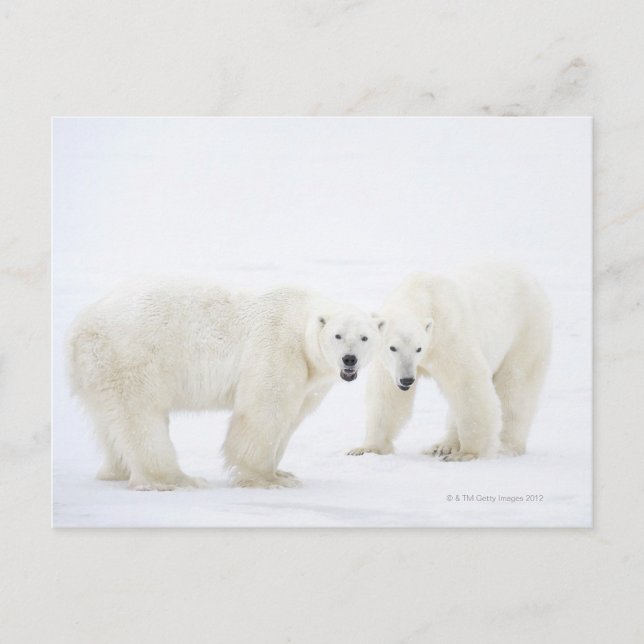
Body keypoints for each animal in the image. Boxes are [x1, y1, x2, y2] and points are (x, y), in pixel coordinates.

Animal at [68, 278, 378, 490]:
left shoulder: (310, 378)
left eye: (364, 337)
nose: (349, 360)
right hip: (132, 356)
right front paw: (269, 479)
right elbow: (264, 410)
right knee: (142, 417)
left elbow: (292, 416)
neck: (299, 321)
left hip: (99, 366)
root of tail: (81, 324)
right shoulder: (277, 346)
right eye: (337, 335)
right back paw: (176, 479)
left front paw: (283, 472)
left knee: (109, 420)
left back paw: (115, 471)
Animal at [348, 262, 552, 461]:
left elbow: (467, 384)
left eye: (418, 348)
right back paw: (442, 446)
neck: (422, 293)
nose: (407, 380)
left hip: (526, 331)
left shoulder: (449, 336)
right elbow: (386, 394)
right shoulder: (389, 364)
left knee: (516, 386)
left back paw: (505, 447)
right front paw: (365, 449)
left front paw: (468, 453)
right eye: (392, 348)